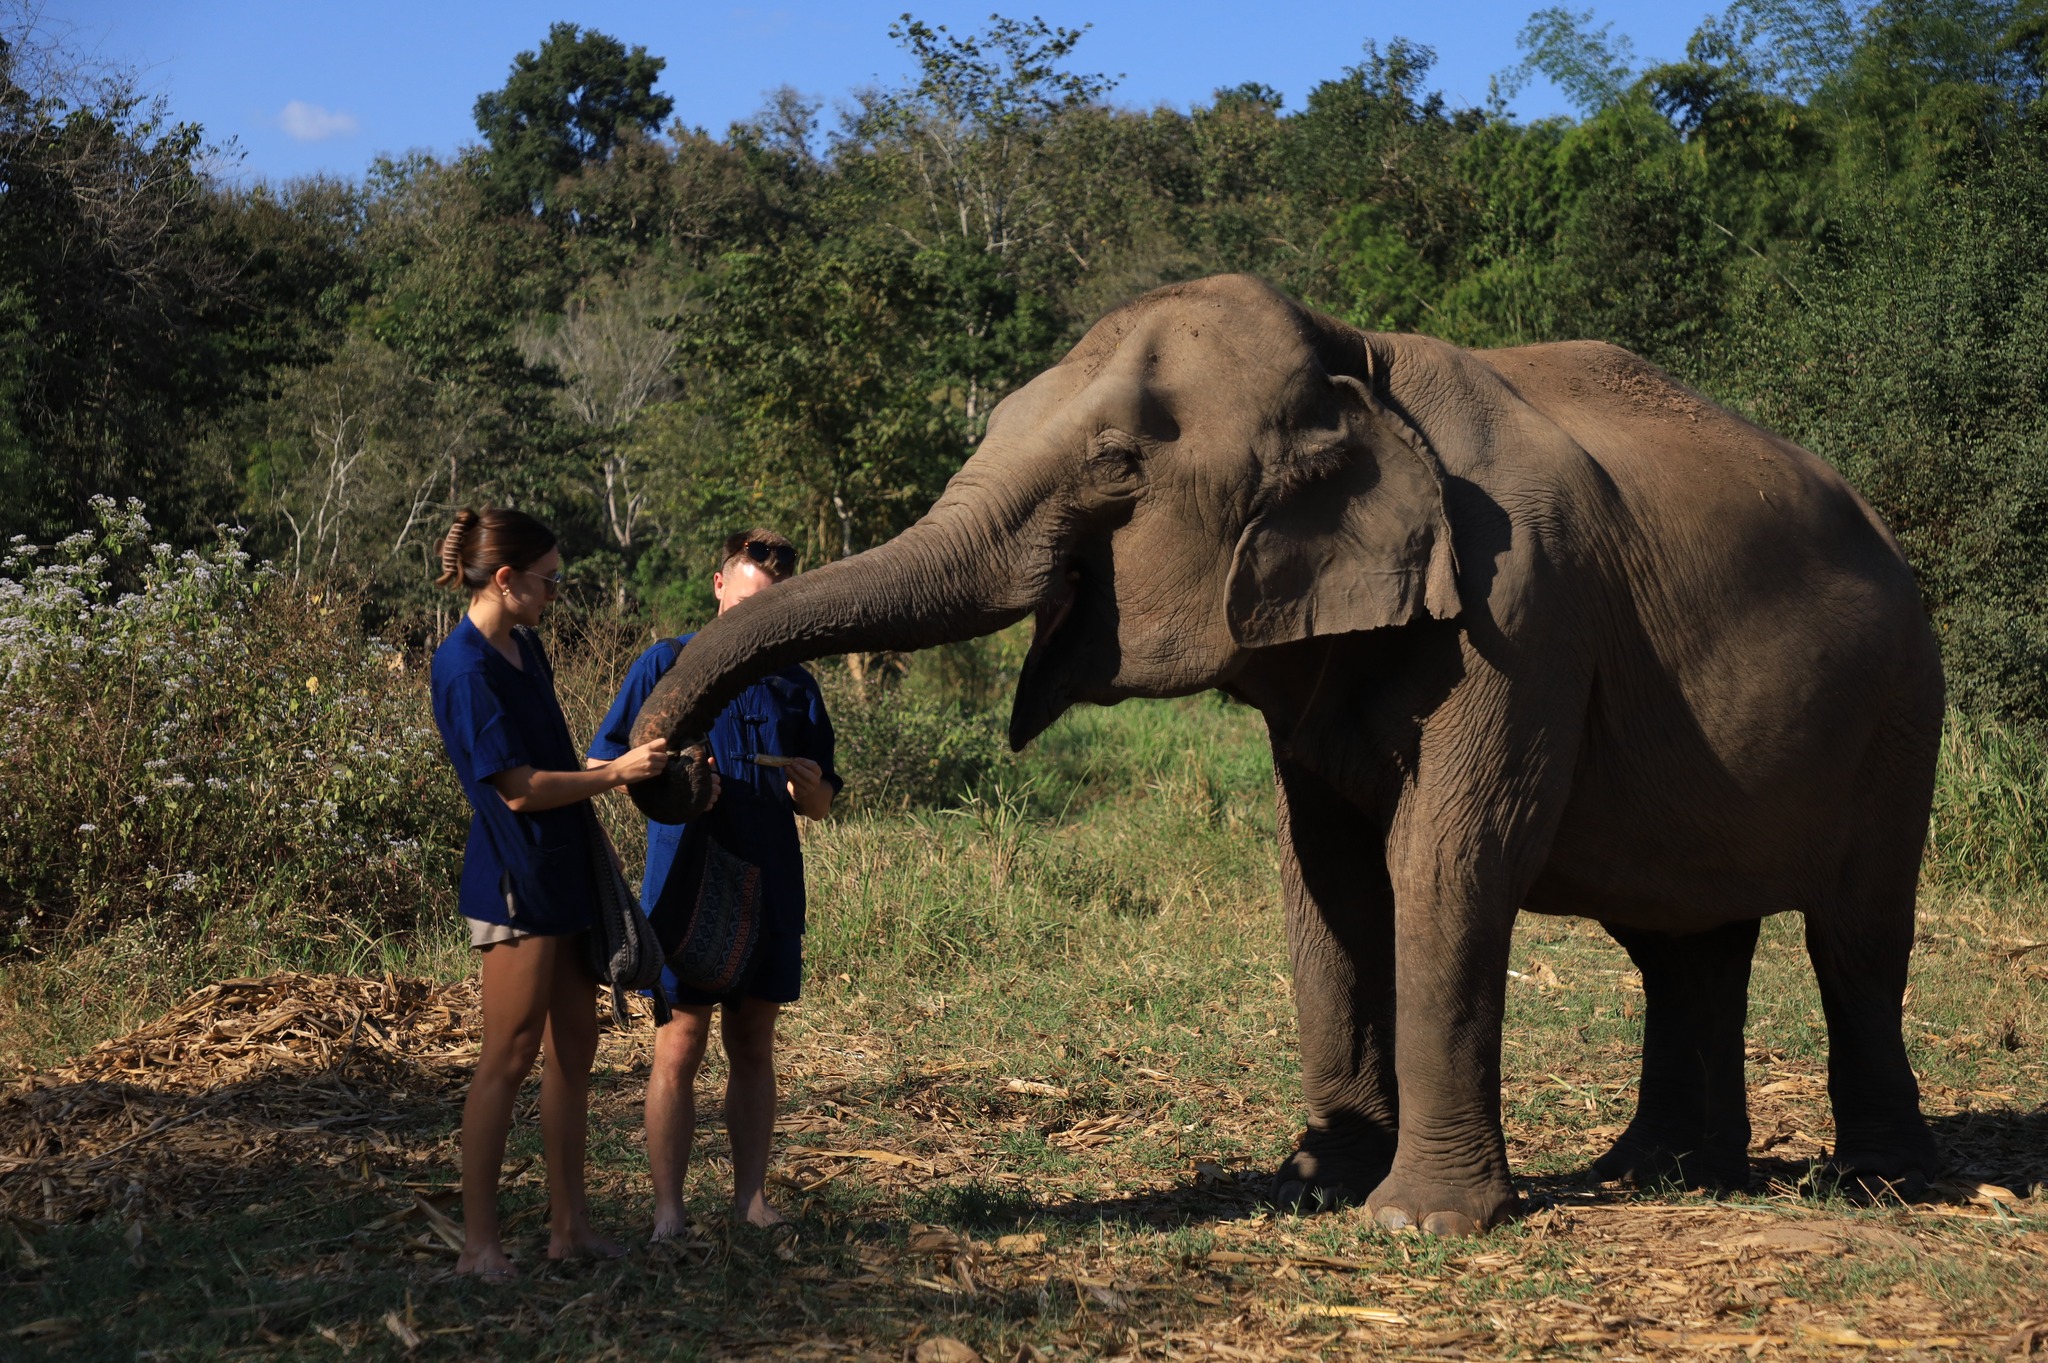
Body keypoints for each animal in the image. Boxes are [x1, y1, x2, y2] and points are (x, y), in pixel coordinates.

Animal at [629, 274, 1943, 1235]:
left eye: (1116, 465)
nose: (671, 771)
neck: (1357, 358)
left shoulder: (1523, 613)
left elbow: (1446, 863)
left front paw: (1413, 1224)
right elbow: (1324, 875)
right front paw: (1312, 1183)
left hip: (1898, 711)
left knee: (1853, 936)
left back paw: (1870, 1183)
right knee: (1682, 943)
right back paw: (1658, 1171)